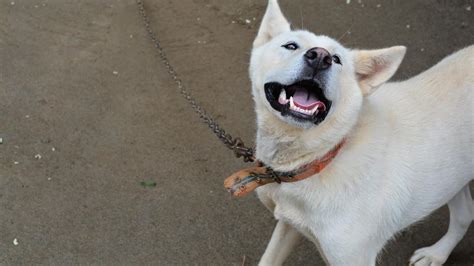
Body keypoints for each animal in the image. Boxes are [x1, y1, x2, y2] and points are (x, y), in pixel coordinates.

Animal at [248, 1, 474, 264]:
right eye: (291, 45)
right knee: (465, 214)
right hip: (453, 177)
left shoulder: (355, 257)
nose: (320, 57)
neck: (322, 157)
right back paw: (436, 255)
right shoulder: (290, 224)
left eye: (337, 59)